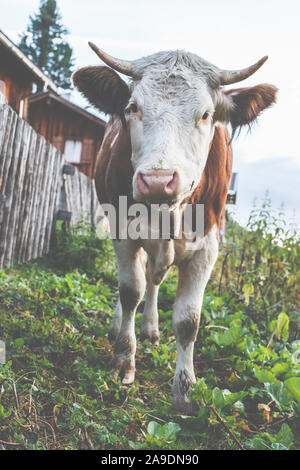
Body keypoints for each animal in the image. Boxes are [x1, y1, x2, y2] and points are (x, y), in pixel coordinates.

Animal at [72, 44, 276, 412]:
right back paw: (119, 328)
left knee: (155, 278)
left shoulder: (207, 248)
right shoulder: (123, 232)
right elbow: (130, 291)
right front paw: (124, 359)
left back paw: (151, 328)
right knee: (137, 284)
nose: (157, 181)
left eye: (207, 114)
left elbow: (188, 320)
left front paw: (185, 388)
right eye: (133, 107)